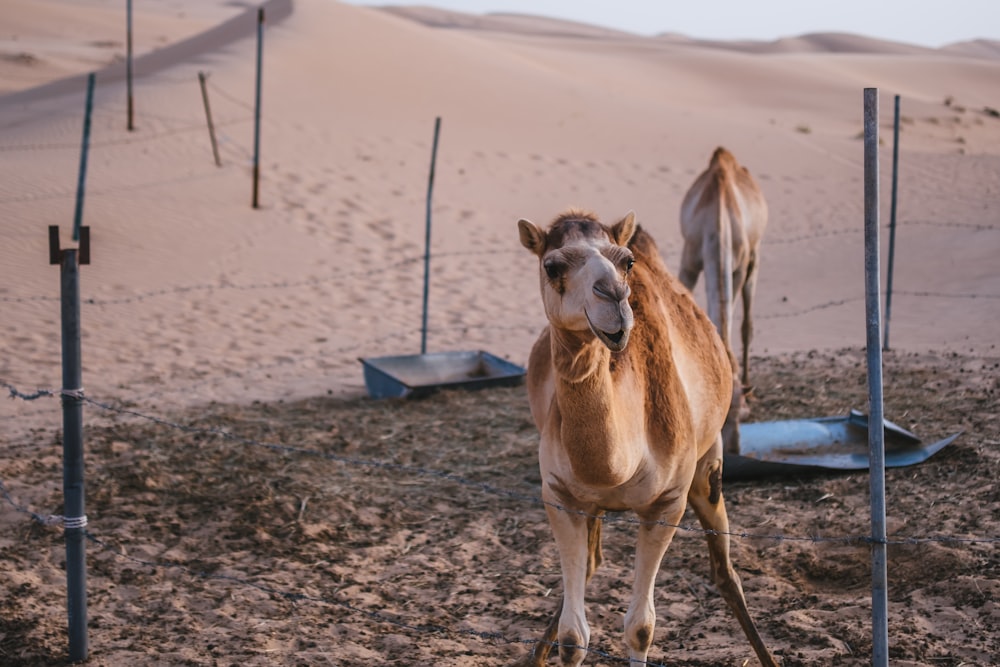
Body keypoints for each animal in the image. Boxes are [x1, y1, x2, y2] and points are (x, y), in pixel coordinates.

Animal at [512, 210, 776, 667]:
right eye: (552, 266)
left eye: (626, 262)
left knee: (726, 572)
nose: (615, 297)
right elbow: (573, 635)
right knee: (592, 563)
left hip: (708, 463)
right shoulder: (560, 496)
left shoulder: (665, 503)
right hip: (592, 503)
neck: (617, 464)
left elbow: (640, 628)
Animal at [676, 147, 768, 436]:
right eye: (721, 416)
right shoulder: (689, 261)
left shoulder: (737, 265)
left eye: (740, 414)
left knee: (747, 322)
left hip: (754, 257)